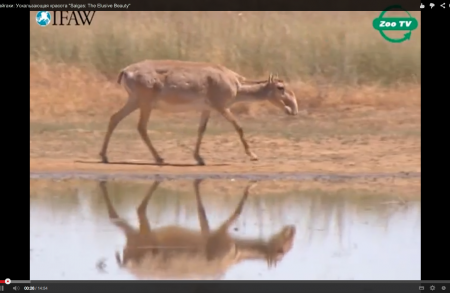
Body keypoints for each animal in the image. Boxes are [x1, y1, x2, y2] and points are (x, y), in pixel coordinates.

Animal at [98, 59, 298, 164]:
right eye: (281, 87)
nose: (293, 109)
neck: (236, 83)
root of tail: (125, 71)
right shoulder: (221, 106)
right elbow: (239, 127)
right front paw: (253, 155)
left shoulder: (206, 109)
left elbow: (201, 130)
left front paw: (199, 157)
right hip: (144, 104)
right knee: (141, 127)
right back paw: (159, 158)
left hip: (134, 102)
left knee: (114, 118)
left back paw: (105, 156)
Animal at [98, 178, 296, 278]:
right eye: (281, 250)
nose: (293, 229)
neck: (235, 252)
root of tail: (127, 265)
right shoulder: (220, 235)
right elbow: (236, 212)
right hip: (140, 237)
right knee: (126, 215)